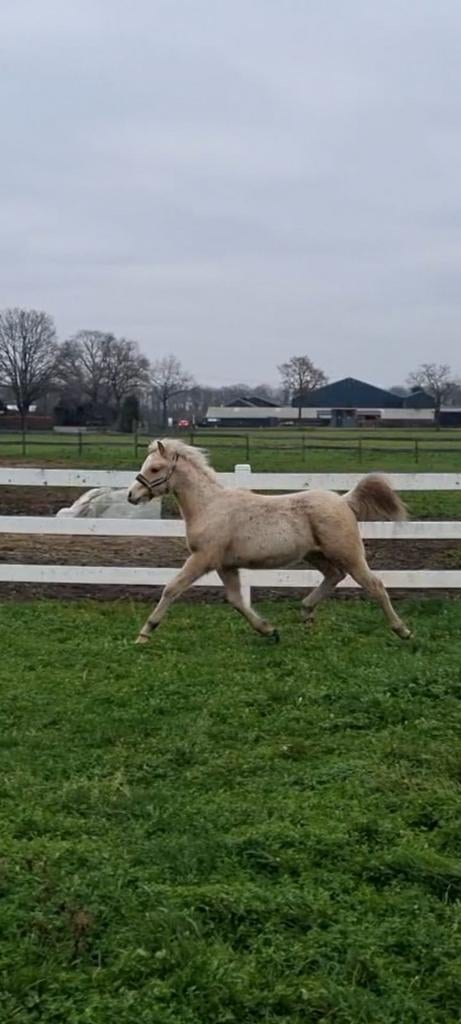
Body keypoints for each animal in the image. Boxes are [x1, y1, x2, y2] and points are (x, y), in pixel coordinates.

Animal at [127, 439, 411, 644]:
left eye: (154, 468)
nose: (132, 495)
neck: (210, 507)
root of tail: (343, 500)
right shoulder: (225, 565)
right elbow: (236, 600)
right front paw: (269, 630)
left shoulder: (203, 558)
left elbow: (171, 588)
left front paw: (144, 634)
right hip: (316, 555)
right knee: (334, 576)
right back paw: (306, 613)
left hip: (348, 554)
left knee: (375, 585)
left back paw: (403, 631)